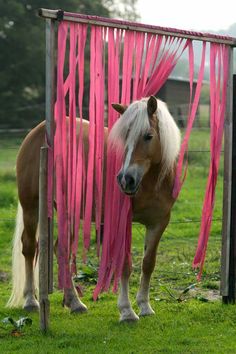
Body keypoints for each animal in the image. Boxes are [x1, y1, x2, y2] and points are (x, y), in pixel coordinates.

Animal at [6, 95, 181, 322]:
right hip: (31, 205)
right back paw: (31, 300)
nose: (125, 179)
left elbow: (148, 263)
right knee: (29, 247)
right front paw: (127, 311)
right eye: (123, 138)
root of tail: (38, 130)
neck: (150, 181)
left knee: (60, 249)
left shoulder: (159, 222)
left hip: (67, 213)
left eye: (148, 136)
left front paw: (144, 306)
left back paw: (73, 302)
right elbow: (125, 264)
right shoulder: (123, 222)